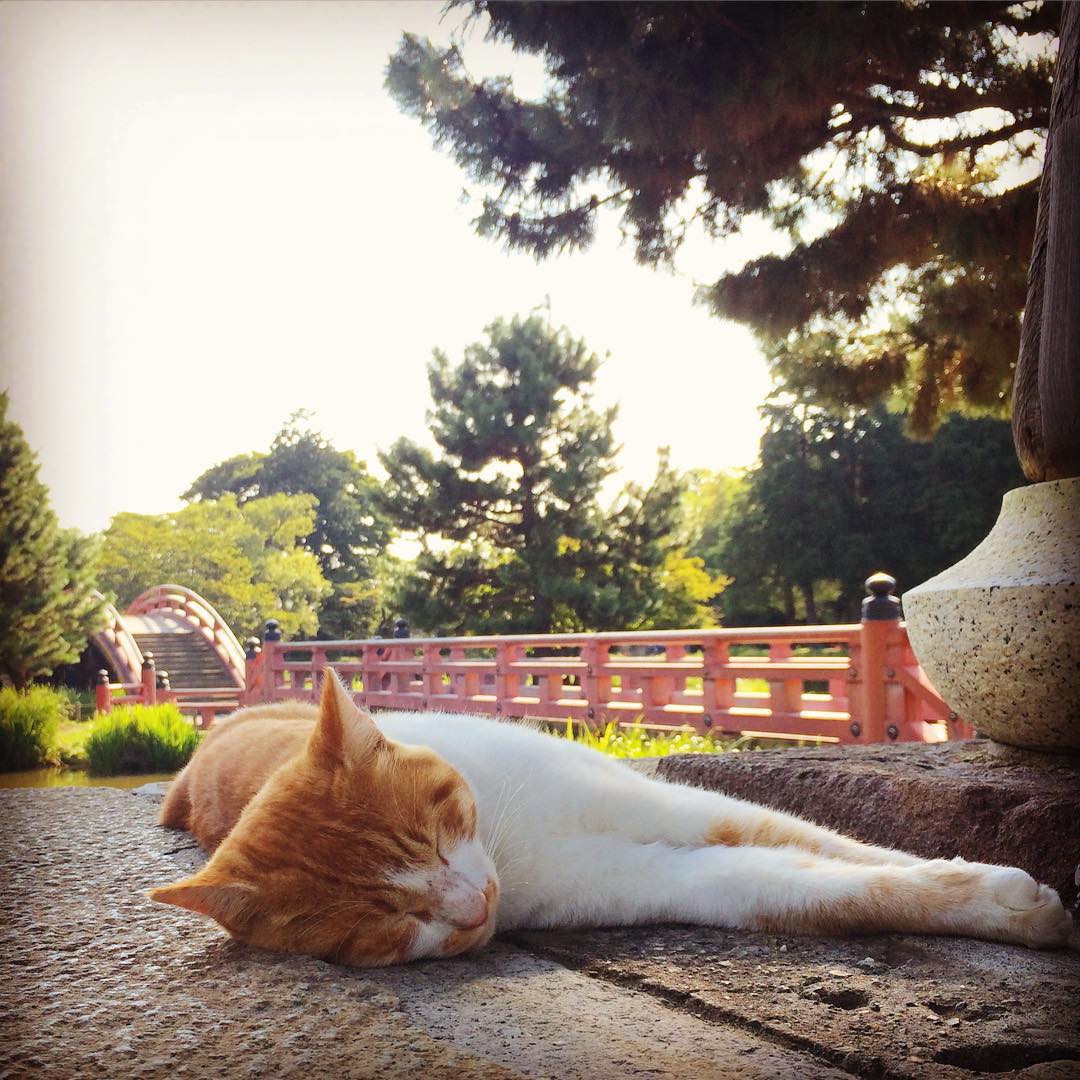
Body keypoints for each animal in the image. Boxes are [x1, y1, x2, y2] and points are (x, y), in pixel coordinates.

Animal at [150, 669, 1071, 967]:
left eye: (436, 833)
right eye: (382, 923)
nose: (473, 907)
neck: (509, 847)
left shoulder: (673, 802)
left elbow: (824, 838)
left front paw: (983, 883)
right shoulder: (649, 877)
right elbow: (803, 884)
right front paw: (997, 907)